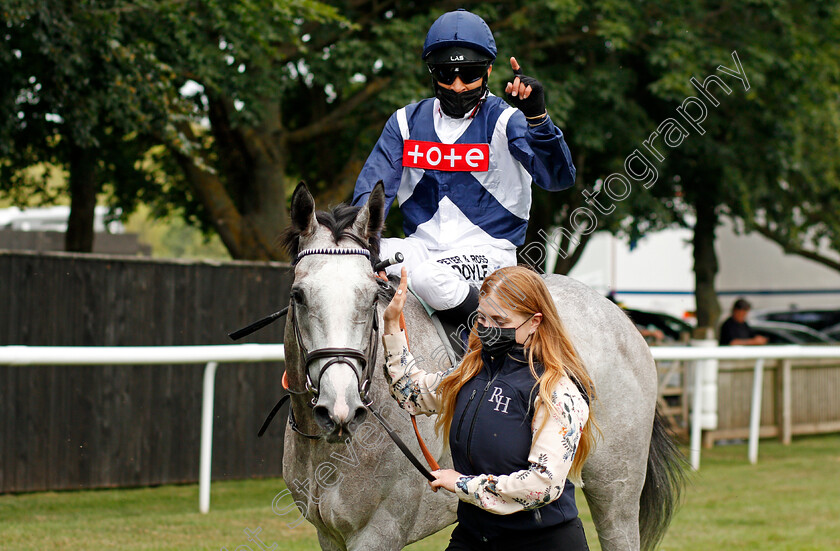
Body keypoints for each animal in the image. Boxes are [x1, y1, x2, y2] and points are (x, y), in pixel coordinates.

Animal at [278, 183, 684, 548]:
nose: (340, 408)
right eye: (297, 295)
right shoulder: (329, 534)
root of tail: (621, 318)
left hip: (616, 489)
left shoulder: (380, 531)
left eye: (372, 295)